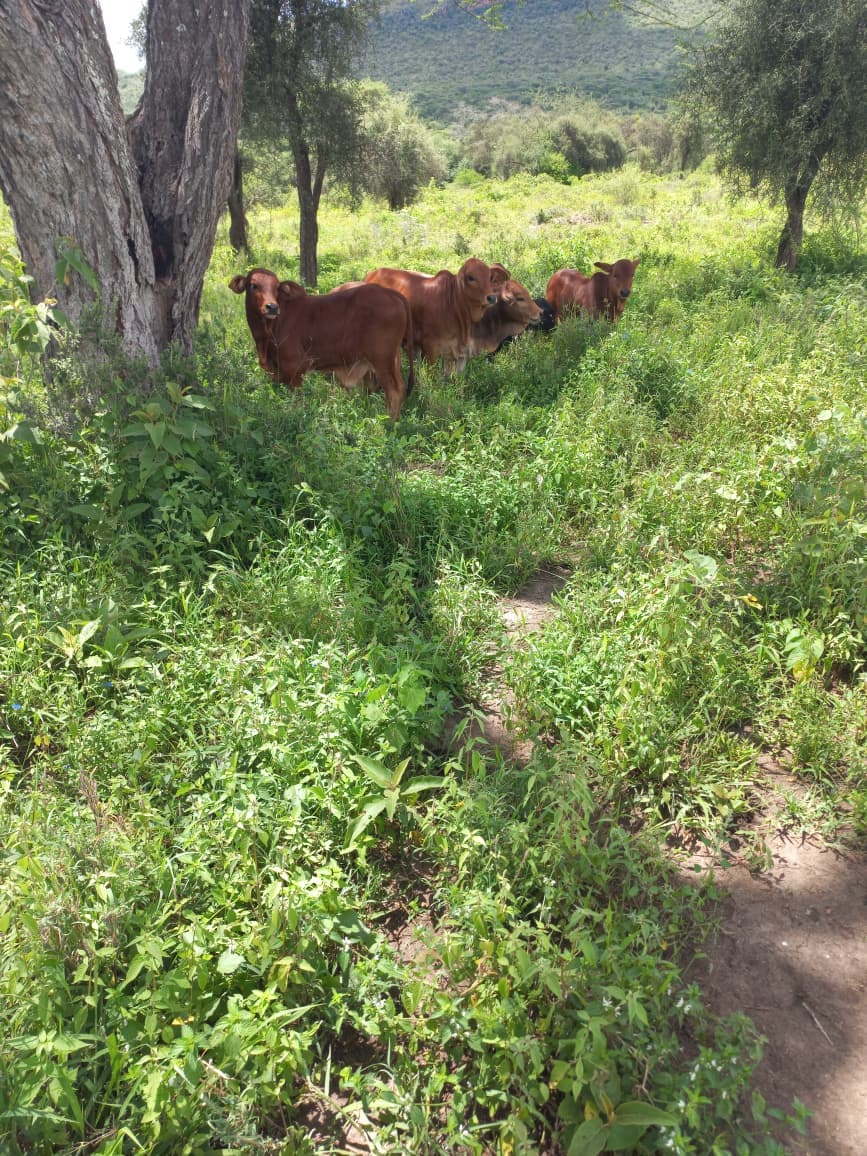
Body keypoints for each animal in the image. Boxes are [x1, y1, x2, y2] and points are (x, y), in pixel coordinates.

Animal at [229, 267, 414, 420]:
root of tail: (392, 294)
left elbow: (296, 401)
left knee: (394, 391)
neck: (267, 333)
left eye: (277, 287)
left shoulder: (294, 369)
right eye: (253, 285)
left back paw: (391, 423)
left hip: (382, 358)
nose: (272, 307)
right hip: (392, 358)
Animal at [364, 258, 508, 373]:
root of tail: (372, 274)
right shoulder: (430, 348)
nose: (491, 298)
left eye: (490, 278)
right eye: (471, 278)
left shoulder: (453, 351)